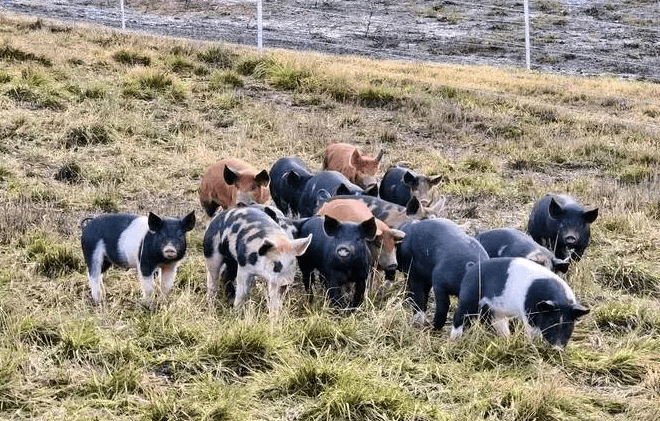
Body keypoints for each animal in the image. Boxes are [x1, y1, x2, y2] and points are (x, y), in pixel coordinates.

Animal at [450, 257, 590, 348]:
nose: (557, 348)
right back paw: (454, 339)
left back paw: (506, 339)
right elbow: (532, 331)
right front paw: (533, 345)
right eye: (551, 321)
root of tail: (470, 268)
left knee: (497, 322)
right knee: (459, 315)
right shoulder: (529, 313)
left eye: (568, 323)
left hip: (496, 310)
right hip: (469, 296)